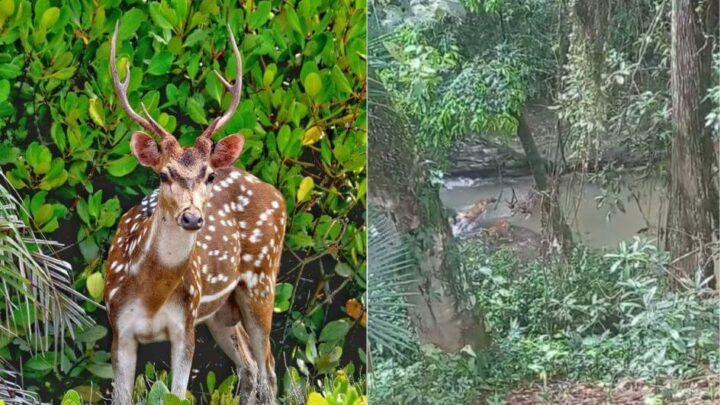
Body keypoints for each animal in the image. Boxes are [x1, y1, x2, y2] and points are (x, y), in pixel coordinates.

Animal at [105, 23, 286, 402]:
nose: (191, 218)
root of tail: (274, 190)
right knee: (249, 366)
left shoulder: (184, 325)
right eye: (163, 174)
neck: (152, 297)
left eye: (209, 175)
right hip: (220, 312)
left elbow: (176, 393)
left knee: (269, 369)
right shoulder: (119, 327)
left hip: (262, 281)